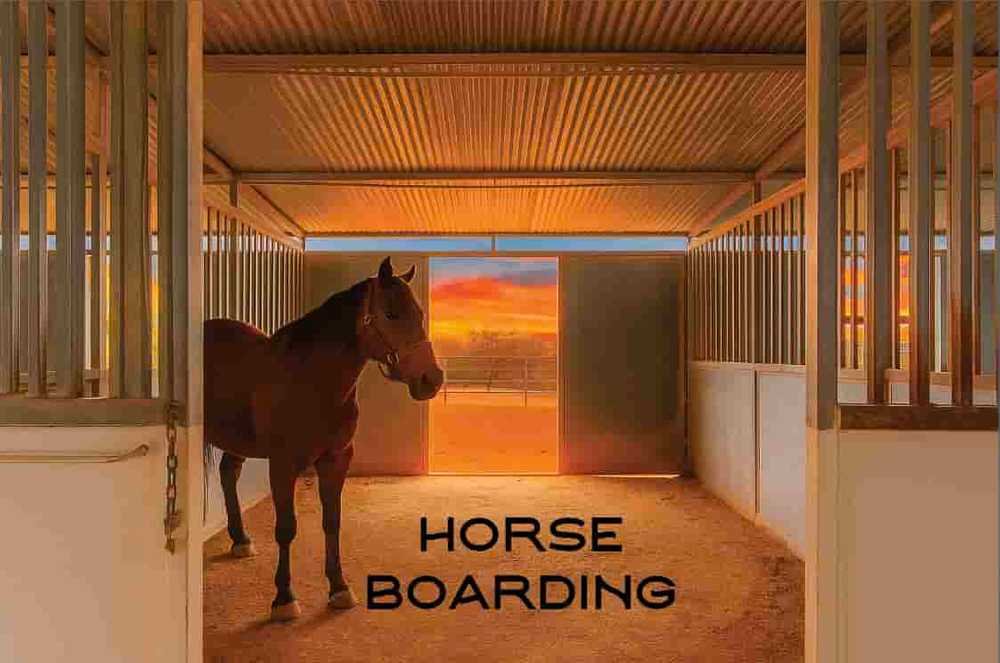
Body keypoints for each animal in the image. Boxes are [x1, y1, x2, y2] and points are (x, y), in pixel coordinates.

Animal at [204, 256, 444, 621]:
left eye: (418, 314)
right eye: (391, 314)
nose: (432, 378)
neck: (312, 380)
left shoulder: (337, 458)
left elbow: (332, 522)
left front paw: (339, 587)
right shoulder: (283, 464)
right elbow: (286, 528)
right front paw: (284, 598)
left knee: (229, 473)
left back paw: (241, 540)